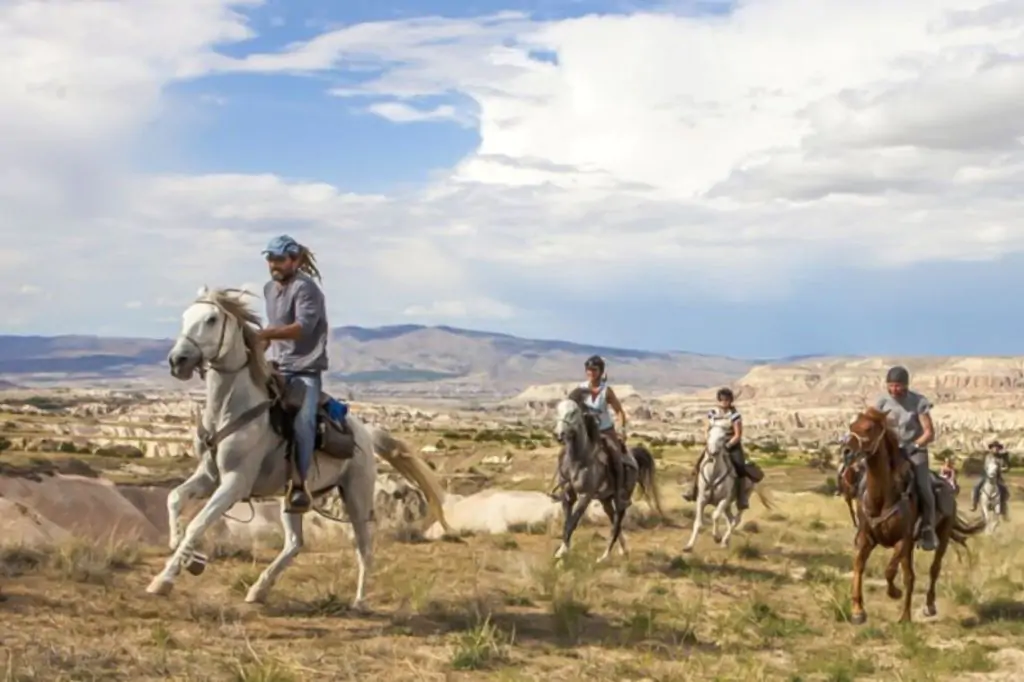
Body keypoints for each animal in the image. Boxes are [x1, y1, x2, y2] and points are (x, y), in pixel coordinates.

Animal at [148, 286, 448, 606]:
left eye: (212, 319)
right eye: (185, 316)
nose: (177, 360)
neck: (228, 410)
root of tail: (367, 433)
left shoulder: (235, 483)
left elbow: (198, 523)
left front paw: (164, 580)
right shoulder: (209, 475)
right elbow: (174, 498)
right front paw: (183, 551)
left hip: (356, 496)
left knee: (364, 548)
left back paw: (359, 601)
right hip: (292, 498)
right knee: (294, 543)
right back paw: (259, 589)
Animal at [552, 391, 663, 561]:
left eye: (574, 412)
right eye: (557, 410)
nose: (559, 434)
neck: (578, 460)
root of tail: (633, 456)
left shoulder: (585, 495)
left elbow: (573, 521)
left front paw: (562, 552)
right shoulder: (568, 495)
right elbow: (567, 522)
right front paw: (564, 549)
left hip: (621, 496)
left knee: (617, 521)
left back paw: (605, 556)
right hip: (605, 499)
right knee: (613, 518)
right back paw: (623, 549)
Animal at [839, 405, 983, 622]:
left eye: (869, 428)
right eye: (852, 425)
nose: (847, 452)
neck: (883, 497)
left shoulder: (903, 540)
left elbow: (890, 571)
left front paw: (894, 593)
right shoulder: (867, 538)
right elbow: (858, 566)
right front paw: (858, 610)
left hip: (942, 536)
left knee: (933, 570)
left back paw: (928, 607)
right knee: (910, 576)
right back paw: (905, 616)